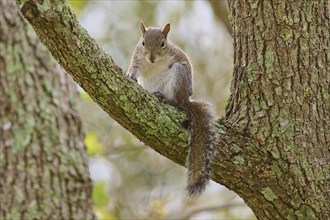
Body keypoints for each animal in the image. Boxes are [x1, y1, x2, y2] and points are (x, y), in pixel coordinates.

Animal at [127, 22, 217, 198]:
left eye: (163, 43)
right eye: (143, 42)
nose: (151, 57)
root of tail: (186, 102)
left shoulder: (177, 56)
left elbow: (186, 63)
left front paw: (191, 89)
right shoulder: (138, 57)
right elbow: (133, 67)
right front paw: (131, 75)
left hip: (177, 76)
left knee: (177, 102)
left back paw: (167, 99)